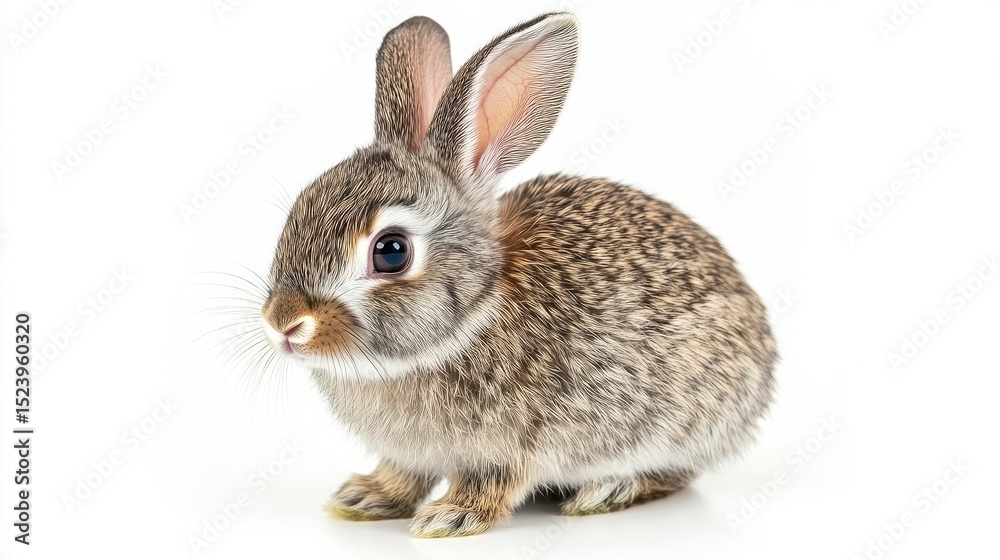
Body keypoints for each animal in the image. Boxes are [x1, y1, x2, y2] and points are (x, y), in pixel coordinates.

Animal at [259, 12, 777, 538]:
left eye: (391, 252)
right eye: (299, 209)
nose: (283, 323)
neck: (473, 316)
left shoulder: (517, 445)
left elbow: (494, 482)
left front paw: (451, 517)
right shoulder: (410, 455)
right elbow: (403, 474)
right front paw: (365, 497)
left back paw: (607, 490)